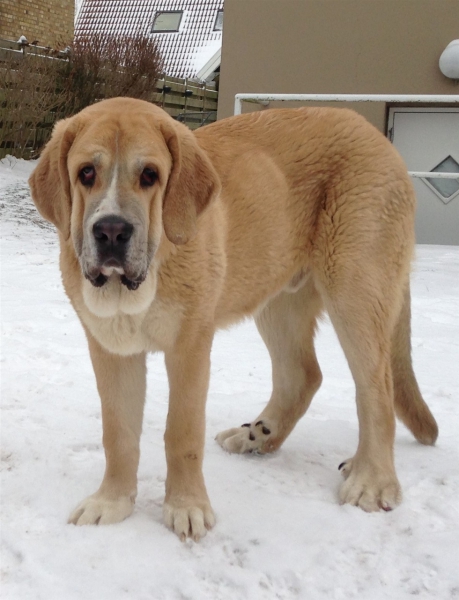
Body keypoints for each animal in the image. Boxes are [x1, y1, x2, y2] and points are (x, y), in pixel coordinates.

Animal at [27, 97, 438, 540]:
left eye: (150, 175)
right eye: (86, 173)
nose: (112, 231)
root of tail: (376, 136)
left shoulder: (190, 346)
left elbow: (182, 432)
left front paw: (186, 507)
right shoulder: (111, 347)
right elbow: (118, 432)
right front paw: (112, 502)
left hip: (355, 286)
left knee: (375, 389)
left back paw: (371, 480)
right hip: (277, 299)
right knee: (303, 374)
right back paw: (257, 436)